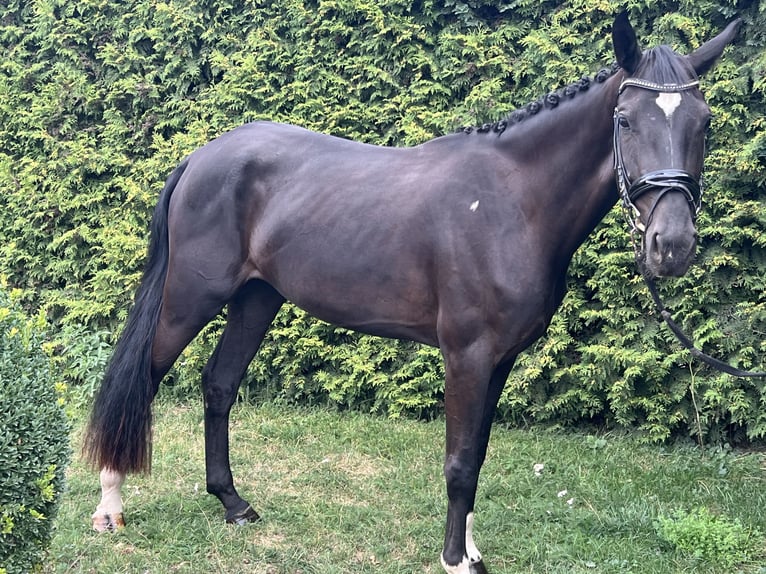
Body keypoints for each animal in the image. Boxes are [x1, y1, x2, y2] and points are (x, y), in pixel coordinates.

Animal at [84, 13, 741, 574]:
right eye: (626, 120)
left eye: (704, 123)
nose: (672, 244)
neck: (511, 202)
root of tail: (201, 156)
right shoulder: (467, 354)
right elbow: (458, 463)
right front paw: (453, 559)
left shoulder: (500, 360)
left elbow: (477, 454)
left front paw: (472, 552)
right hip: (191, 297)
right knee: (143, 377)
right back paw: (111, 506)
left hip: (256, 297)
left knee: (219, 385)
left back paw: (232, 503)